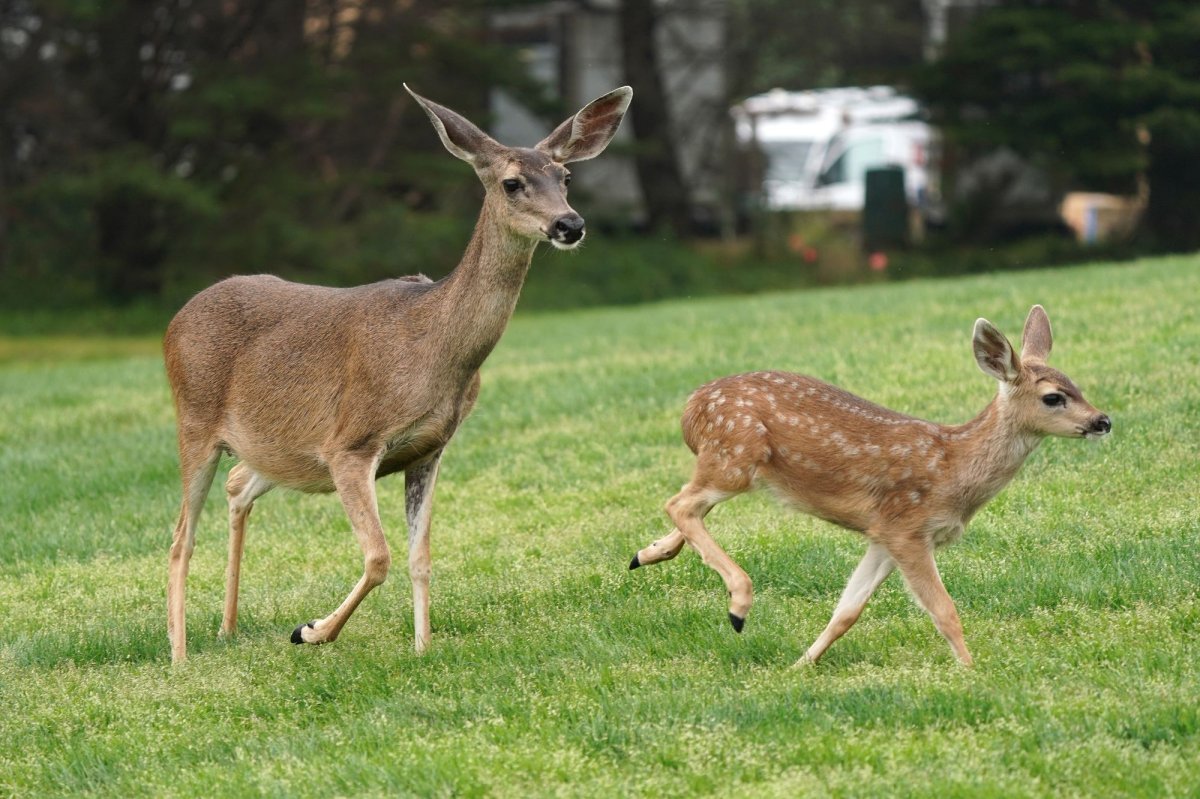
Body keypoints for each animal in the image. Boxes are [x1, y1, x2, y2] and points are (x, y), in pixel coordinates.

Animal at [164, 84, 632, 663]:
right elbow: (379, 557)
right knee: (181, 538)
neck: (434, 350)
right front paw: (312, 629)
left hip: (273, 449)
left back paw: (227, 629)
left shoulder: (430, 447)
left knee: (236, 487)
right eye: (512, 182)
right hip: (194, 420)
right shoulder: (349, 443)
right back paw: (180, 654)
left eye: (565, 177)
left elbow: (420, 556)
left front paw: (423, 646)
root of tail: (175, 321)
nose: (570, 224)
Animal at [628, 305, 1110, 666]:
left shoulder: (882, 535)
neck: (954, 467)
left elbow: (848, 610)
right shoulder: (907, 527)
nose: (1102, 420)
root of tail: (691, 408)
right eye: (1053, 397)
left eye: (1078, 386)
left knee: (689, 506)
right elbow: (944, 610)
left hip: (729, 464)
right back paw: (737, 606)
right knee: (680, 503)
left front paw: (800, 664)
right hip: (736, 456)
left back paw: (646, 554)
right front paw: (972, 670)